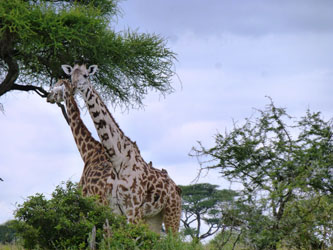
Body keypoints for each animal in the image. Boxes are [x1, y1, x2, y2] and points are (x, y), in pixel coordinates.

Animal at [62, 63, 182, 233]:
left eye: (86, 75)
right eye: (71, 75)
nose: (74, 86)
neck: (118, 160)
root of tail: (176, 186)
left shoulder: (133, 208)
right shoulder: (116, 209)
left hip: (172, 211)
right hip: (154, 217)